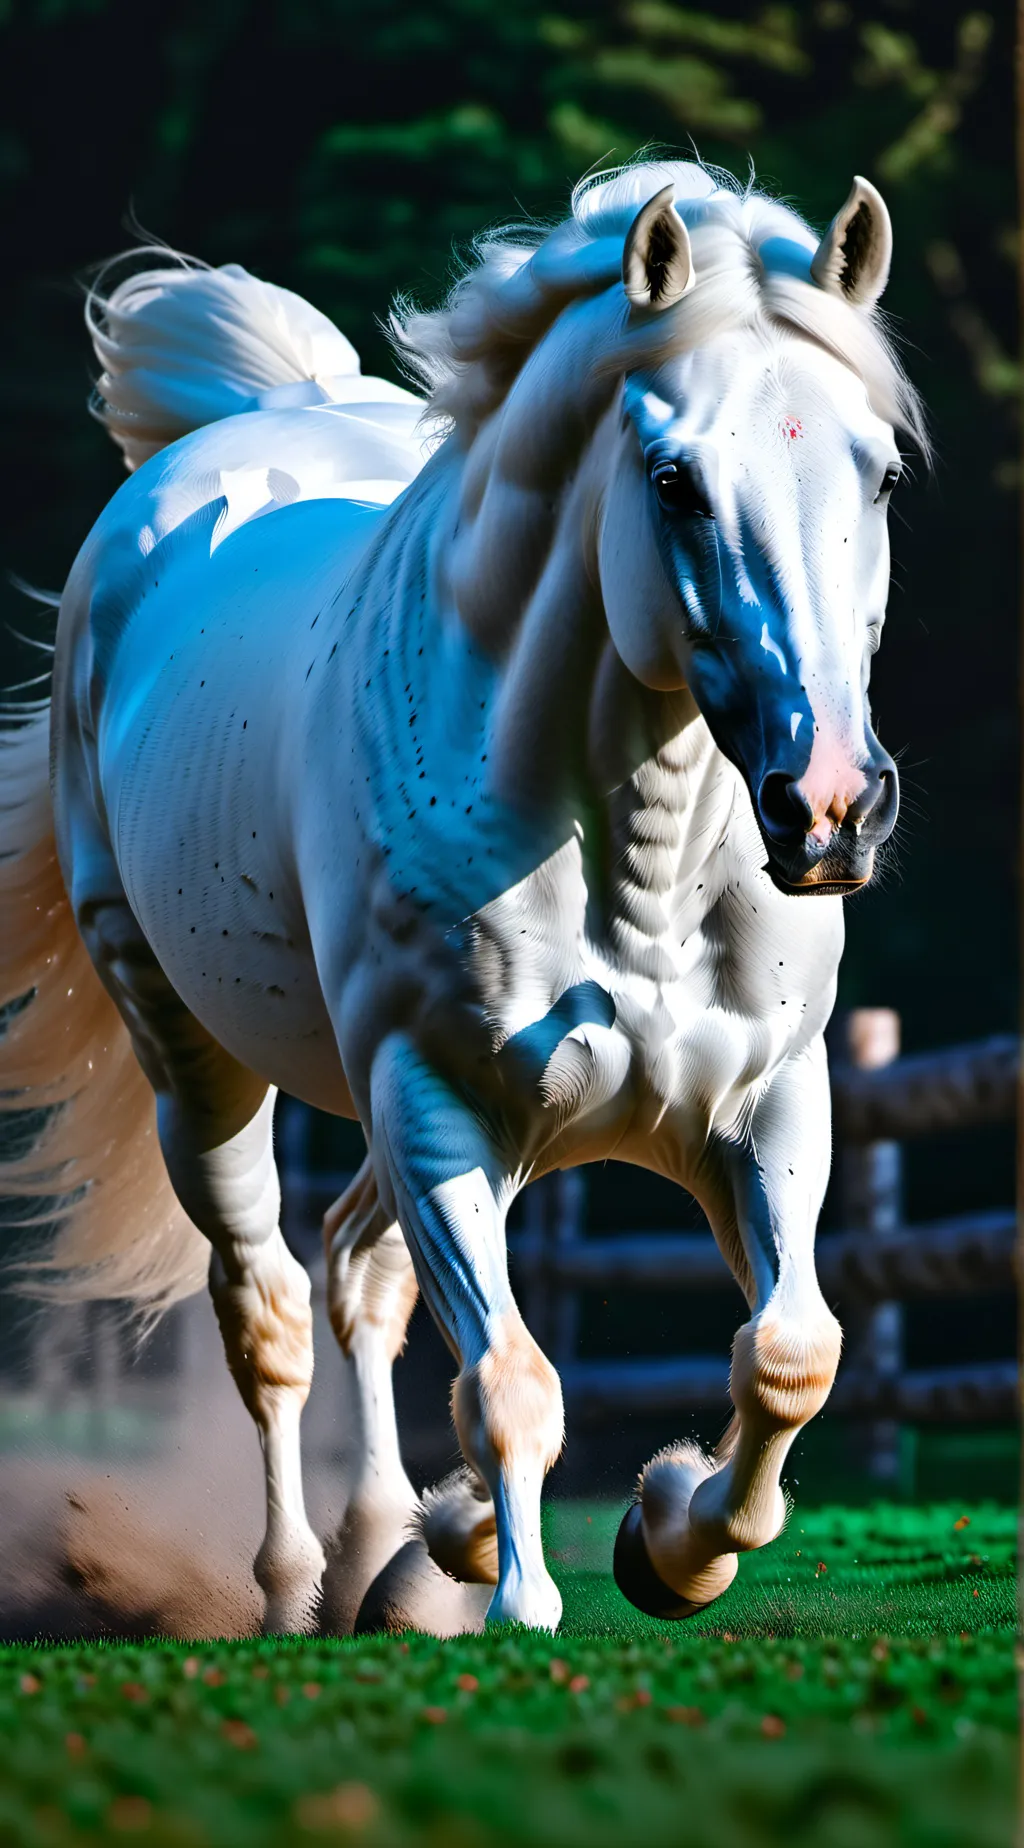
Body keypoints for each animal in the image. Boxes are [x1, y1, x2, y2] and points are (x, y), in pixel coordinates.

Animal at [0, 160, 924, 1635]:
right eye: (674, 479)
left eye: (880, 471)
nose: (830, 803)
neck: (634, 870)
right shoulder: (437, 1110)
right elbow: (512, 1381)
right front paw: (516, 1592)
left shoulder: (768, 1105)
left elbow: (792, 1352)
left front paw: (665, 1539)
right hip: (196, 1058)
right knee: (268, 1306)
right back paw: (299, 1585)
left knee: (357, 1274)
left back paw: (391, 1545)